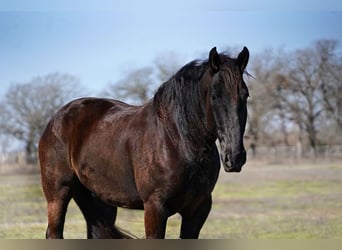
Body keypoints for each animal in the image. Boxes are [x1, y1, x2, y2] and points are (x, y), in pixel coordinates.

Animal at [38, 46, 250, 238]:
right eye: (215, 96)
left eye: (245, 95)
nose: (234, 157)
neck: (179, 140)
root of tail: (56, 118)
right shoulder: (155, 208)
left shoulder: (198, 209)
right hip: (58, 195)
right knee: (54, 232)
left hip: (99, 201)